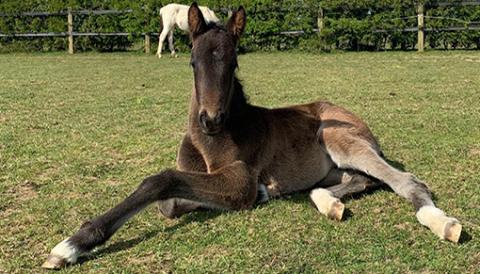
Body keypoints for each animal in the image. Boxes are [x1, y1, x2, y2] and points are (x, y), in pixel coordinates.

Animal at [43, 3, 464, 270]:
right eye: (192, 62)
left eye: (233, 62)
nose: (211, 120)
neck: (208, 144)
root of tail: (343, 111)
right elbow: (169, 202)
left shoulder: (240, 179)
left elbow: (160, 181)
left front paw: (70, 246)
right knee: (358, 180)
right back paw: (327, 203)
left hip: (339, 138)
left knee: (404, 180)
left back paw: (441, 222)